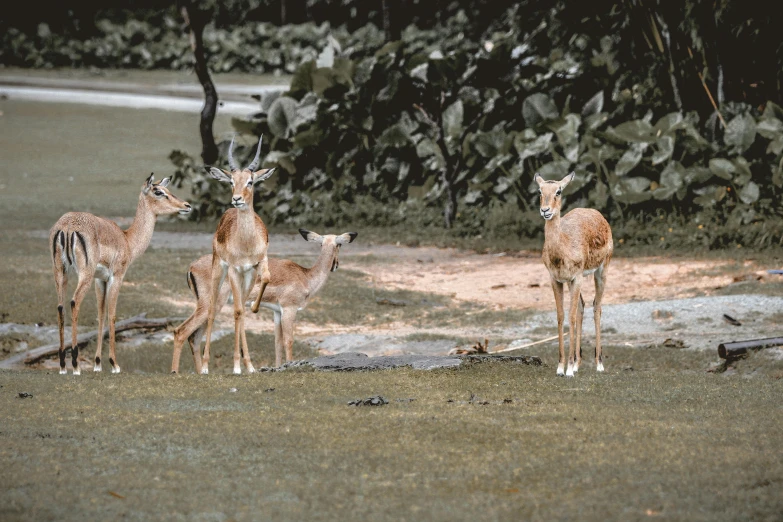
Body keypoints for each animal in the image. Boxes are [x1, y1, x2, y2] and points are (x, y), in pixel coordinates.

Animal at [49, 175, 191, 374]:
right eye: (158, 192)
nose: (187, 205)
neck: (127, 240)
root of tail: (67, 227)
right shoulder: (116, 277)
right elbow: (112, 314)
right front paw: (114, 364)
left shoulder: (100, 280)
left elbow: (100, 315)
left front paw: (98, 364)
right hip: (83, 275)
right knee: (74, 302)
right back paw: (75, 366)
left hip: (61, 272)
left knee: (60, 307)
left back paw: (62, 365)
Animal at [173, 228, 360, 370]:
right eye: (339, 244)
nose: (335, 265)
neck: (305, 276)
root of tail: (191, 267)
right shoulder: (289, 309)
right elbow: (289, 340)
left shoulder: (277, 312)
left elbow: (277, 342)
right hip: (211, 305)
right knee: (181, 331)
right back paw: (175, 372)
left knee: (194, 338)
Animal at [201, 136, 278, 372]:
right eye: (231, 181)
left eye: (250, 181)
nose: (237, 199)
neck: (246, 243)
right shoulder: (235, 270)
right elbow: (235, 311)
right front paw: (236, 366)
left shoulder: (258, 264)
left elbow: (266, 279)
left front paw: (255, 308)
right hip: (220, 270)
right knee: (213, 311)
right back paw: (205, 366)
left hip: (247, 277)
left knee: (241, 310)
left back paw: (249, 365)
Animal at [536, 173, 616, 376]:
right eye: (540, 191)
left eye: (558, 191)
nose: (545, 210)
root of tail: (596, 213)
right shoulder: (556, 279)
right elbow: (561, 316)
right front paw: (561, 367)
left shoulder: (577, 277)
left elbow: (571, 317)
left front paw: (569, 370)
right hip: (574, 282)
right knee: (582, 306)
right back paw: (579, 363)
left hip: (602, 271)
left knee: (597, 306)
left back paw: (599, 364)